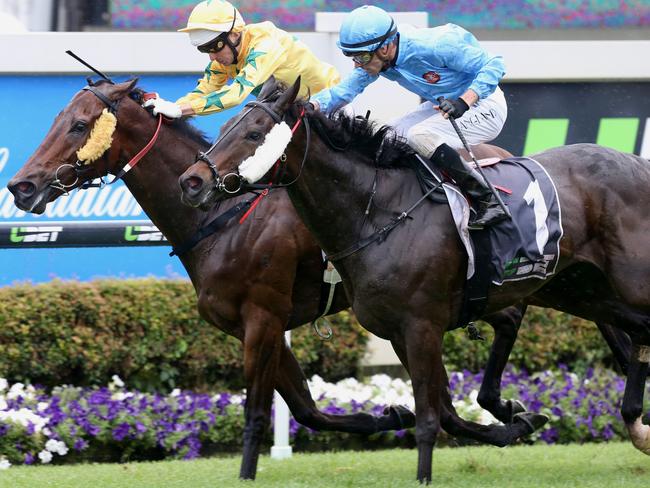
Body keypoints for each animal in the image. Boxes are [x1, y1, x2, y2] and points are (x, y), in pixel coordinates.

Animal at [7, 79, 548, 480]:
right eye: (57, 120)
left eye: (79, 125)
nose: (21, 186)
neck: (222, 216)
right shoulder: (256, 324)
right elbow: (306, 408)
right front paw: (387, 415)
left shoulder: (263, 318)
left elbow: (256, 411)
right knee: (495, 333)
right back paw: (508, 416)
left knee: (504, 322)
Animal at [177, 78, 648, 482]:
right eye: (224, 127)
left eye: (255, 133)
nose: (192, 181)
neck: (380, 213)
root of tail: (638, 165)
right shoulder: (395, 332)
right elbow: (435, 411)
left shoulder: (418, 325)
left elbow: (428, 419)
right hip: (581, 290)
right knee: (635, 335)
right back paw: (634, 423)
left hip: (626, 283)